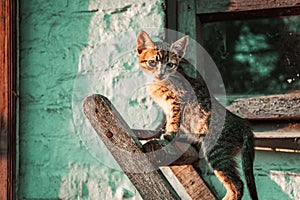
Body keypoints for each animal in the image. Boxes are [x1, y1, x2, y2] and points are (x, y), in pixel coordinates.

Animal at [136, 30, 258, 200]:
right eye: (152, 62)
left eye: (170, 65)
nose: (161, 73)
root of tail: (243, 123)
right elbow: (169, 118)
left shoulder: (177, 100)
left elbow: (174, 120)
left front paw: (170, 134)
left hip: (217, 151)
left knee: (237, 184)